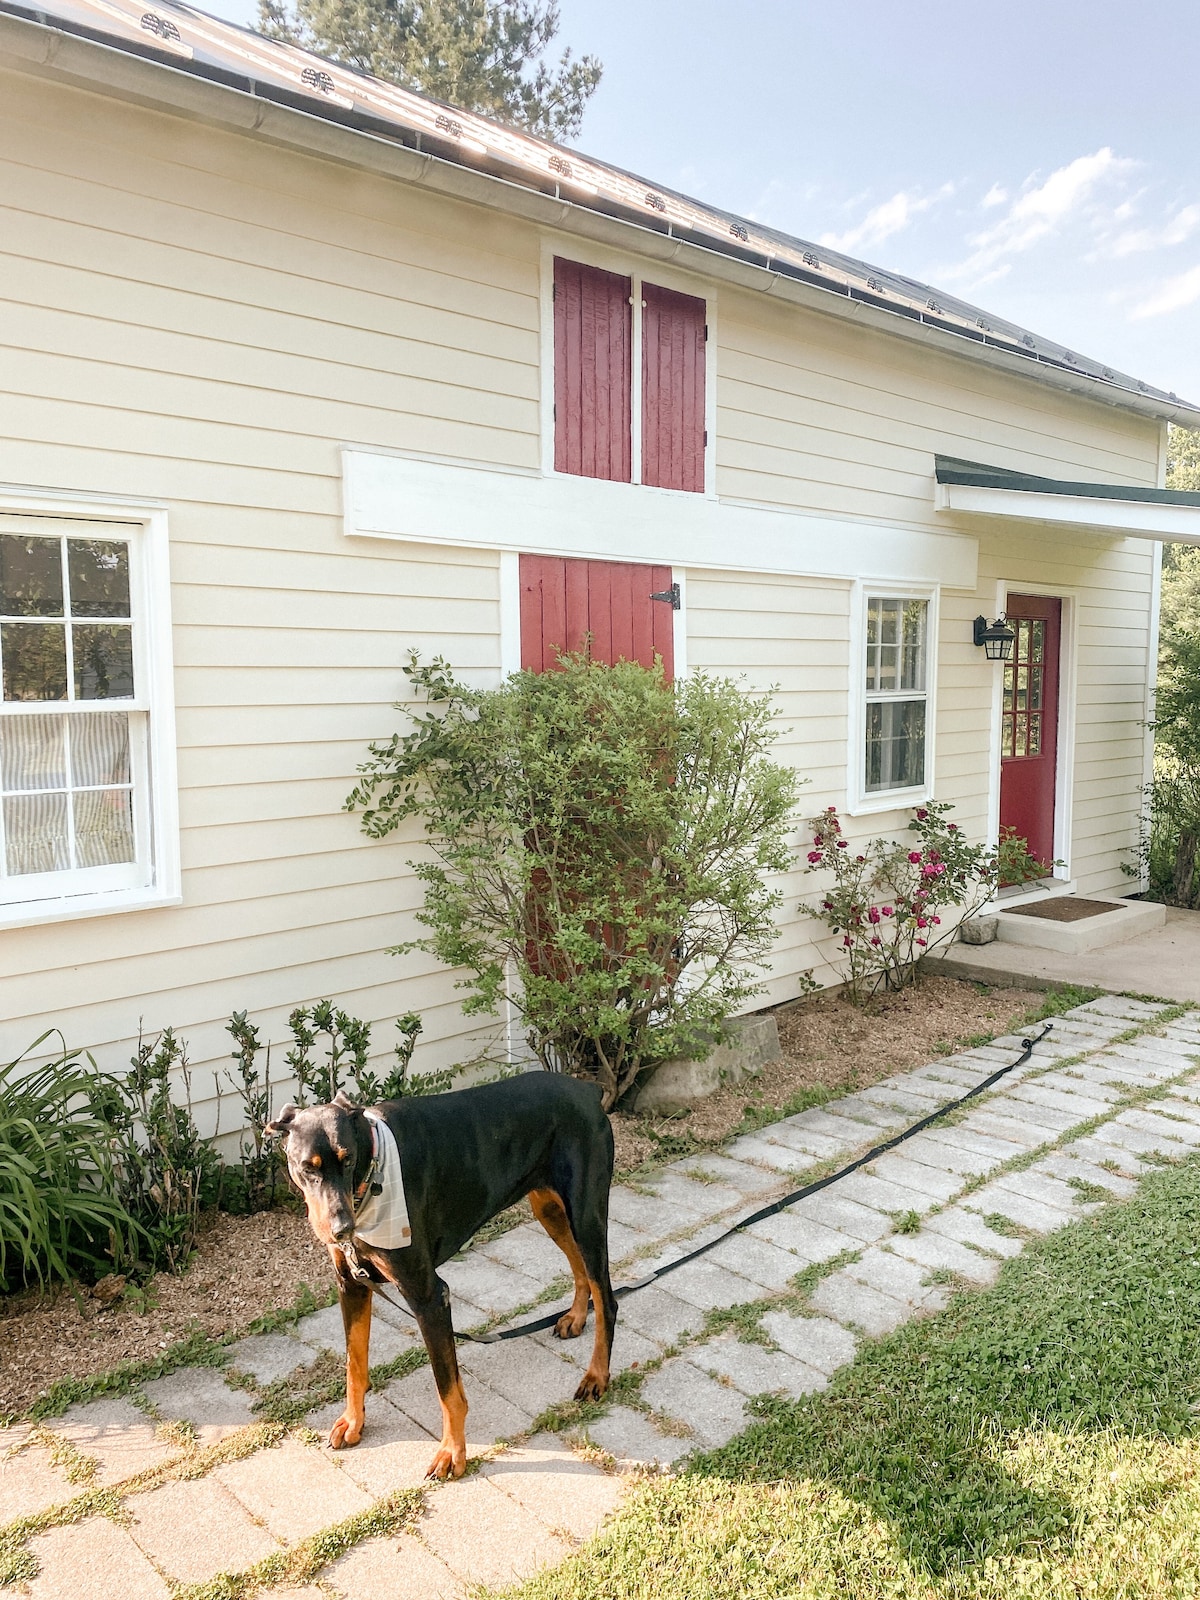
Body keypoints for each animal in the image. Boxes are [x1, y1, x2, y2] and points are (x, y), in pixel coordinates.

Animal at [267, 1068, 614, 1478]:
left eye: (347, 1158)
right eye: (308, 1167)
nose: (341, 1230)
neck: (371, 1175)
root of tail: (586, 1089)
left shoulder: (429, 1297)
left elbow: (448, 1389)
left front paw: (452, 1453)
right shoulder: (350, 1284)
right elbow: (354, 1364)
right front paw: (353, 1423)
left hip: (586, 1216)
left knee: (607, 1299)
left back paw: (596, 1376)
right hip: (550, 1209)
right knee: (579, 1268)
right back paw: (576, 1316)